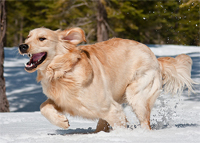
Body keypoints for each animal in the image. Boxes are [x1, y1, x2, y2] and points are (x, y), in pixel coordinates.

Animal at [18, 27, 194, 132]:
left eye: (42, 38)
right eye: (27, 37)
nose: (22, 46)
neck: (64, 71)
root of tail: (155, 58)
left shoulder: (112, 108)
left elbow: (121, 125)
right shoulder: (64, 101)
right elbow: (43, 106)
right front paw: (61, 121)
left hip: (137, 95)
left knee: (145, 124)